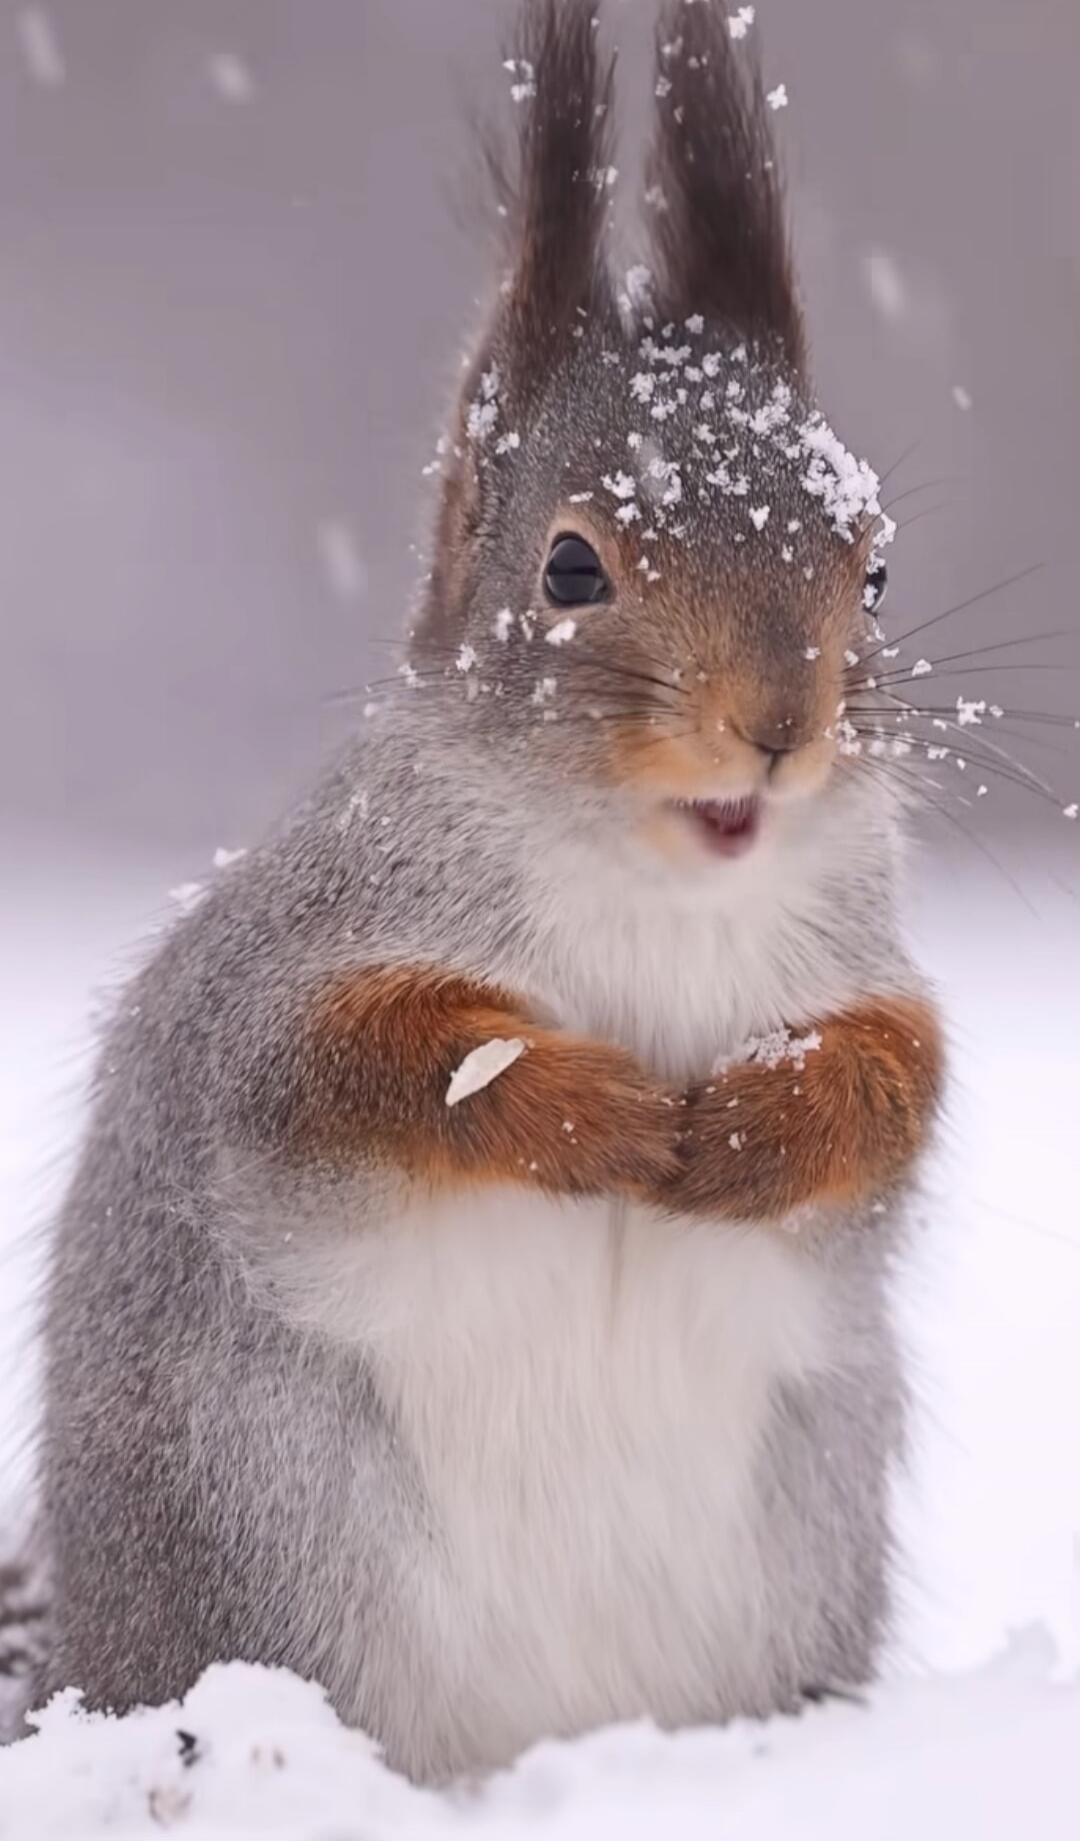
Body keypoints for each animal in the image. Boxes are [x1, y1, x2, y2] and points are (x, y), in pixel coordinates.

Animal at [31, 0, 943, 1784]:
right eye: (570, 568)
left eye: (873, 566)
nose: (781, 725)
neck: (656, 885)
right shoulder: (283, 976)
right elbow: (349, 1069)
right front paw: (581, 1108)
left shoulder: (861, 957)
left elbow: (894, 1088)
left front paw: (755, 1127)